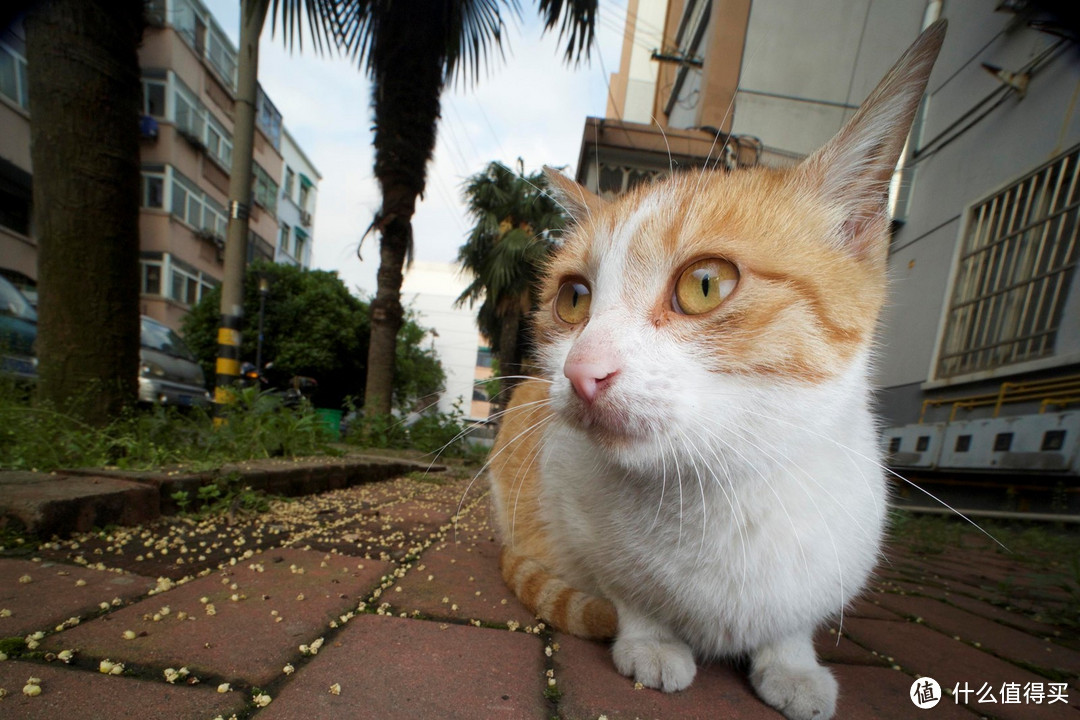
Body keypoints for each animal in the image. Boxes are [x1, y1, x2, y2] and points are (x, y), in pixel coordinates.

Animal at [490, 19, 946, 716]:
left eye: (704, 284)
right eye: (573, 299)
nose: (581, 371)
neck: (719, 488)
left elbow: (790, 627)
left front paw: (793, 666)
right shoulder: (570, 512)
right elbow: (626, 592)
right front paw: (651, 640)